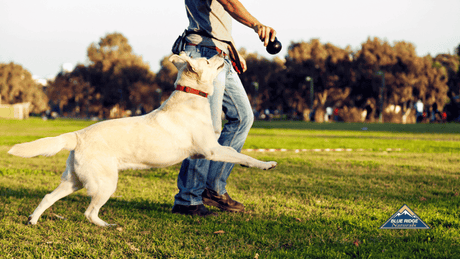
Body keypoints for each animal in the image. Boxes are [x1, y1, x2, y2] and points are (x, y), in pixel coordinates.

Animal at [8, 54, 276, 228]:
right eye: (208, 61)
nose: (223, 53)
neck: (190, 97)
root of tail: (78, 135)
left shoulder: (208, 151)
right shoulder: (212, 150)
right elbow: (240, 154)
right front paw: (266, 164)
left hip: (74, 181)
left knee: (48, 197)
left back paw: (33, 220)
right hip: (105, 183)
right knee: (89, 212)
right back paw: (107, 225)